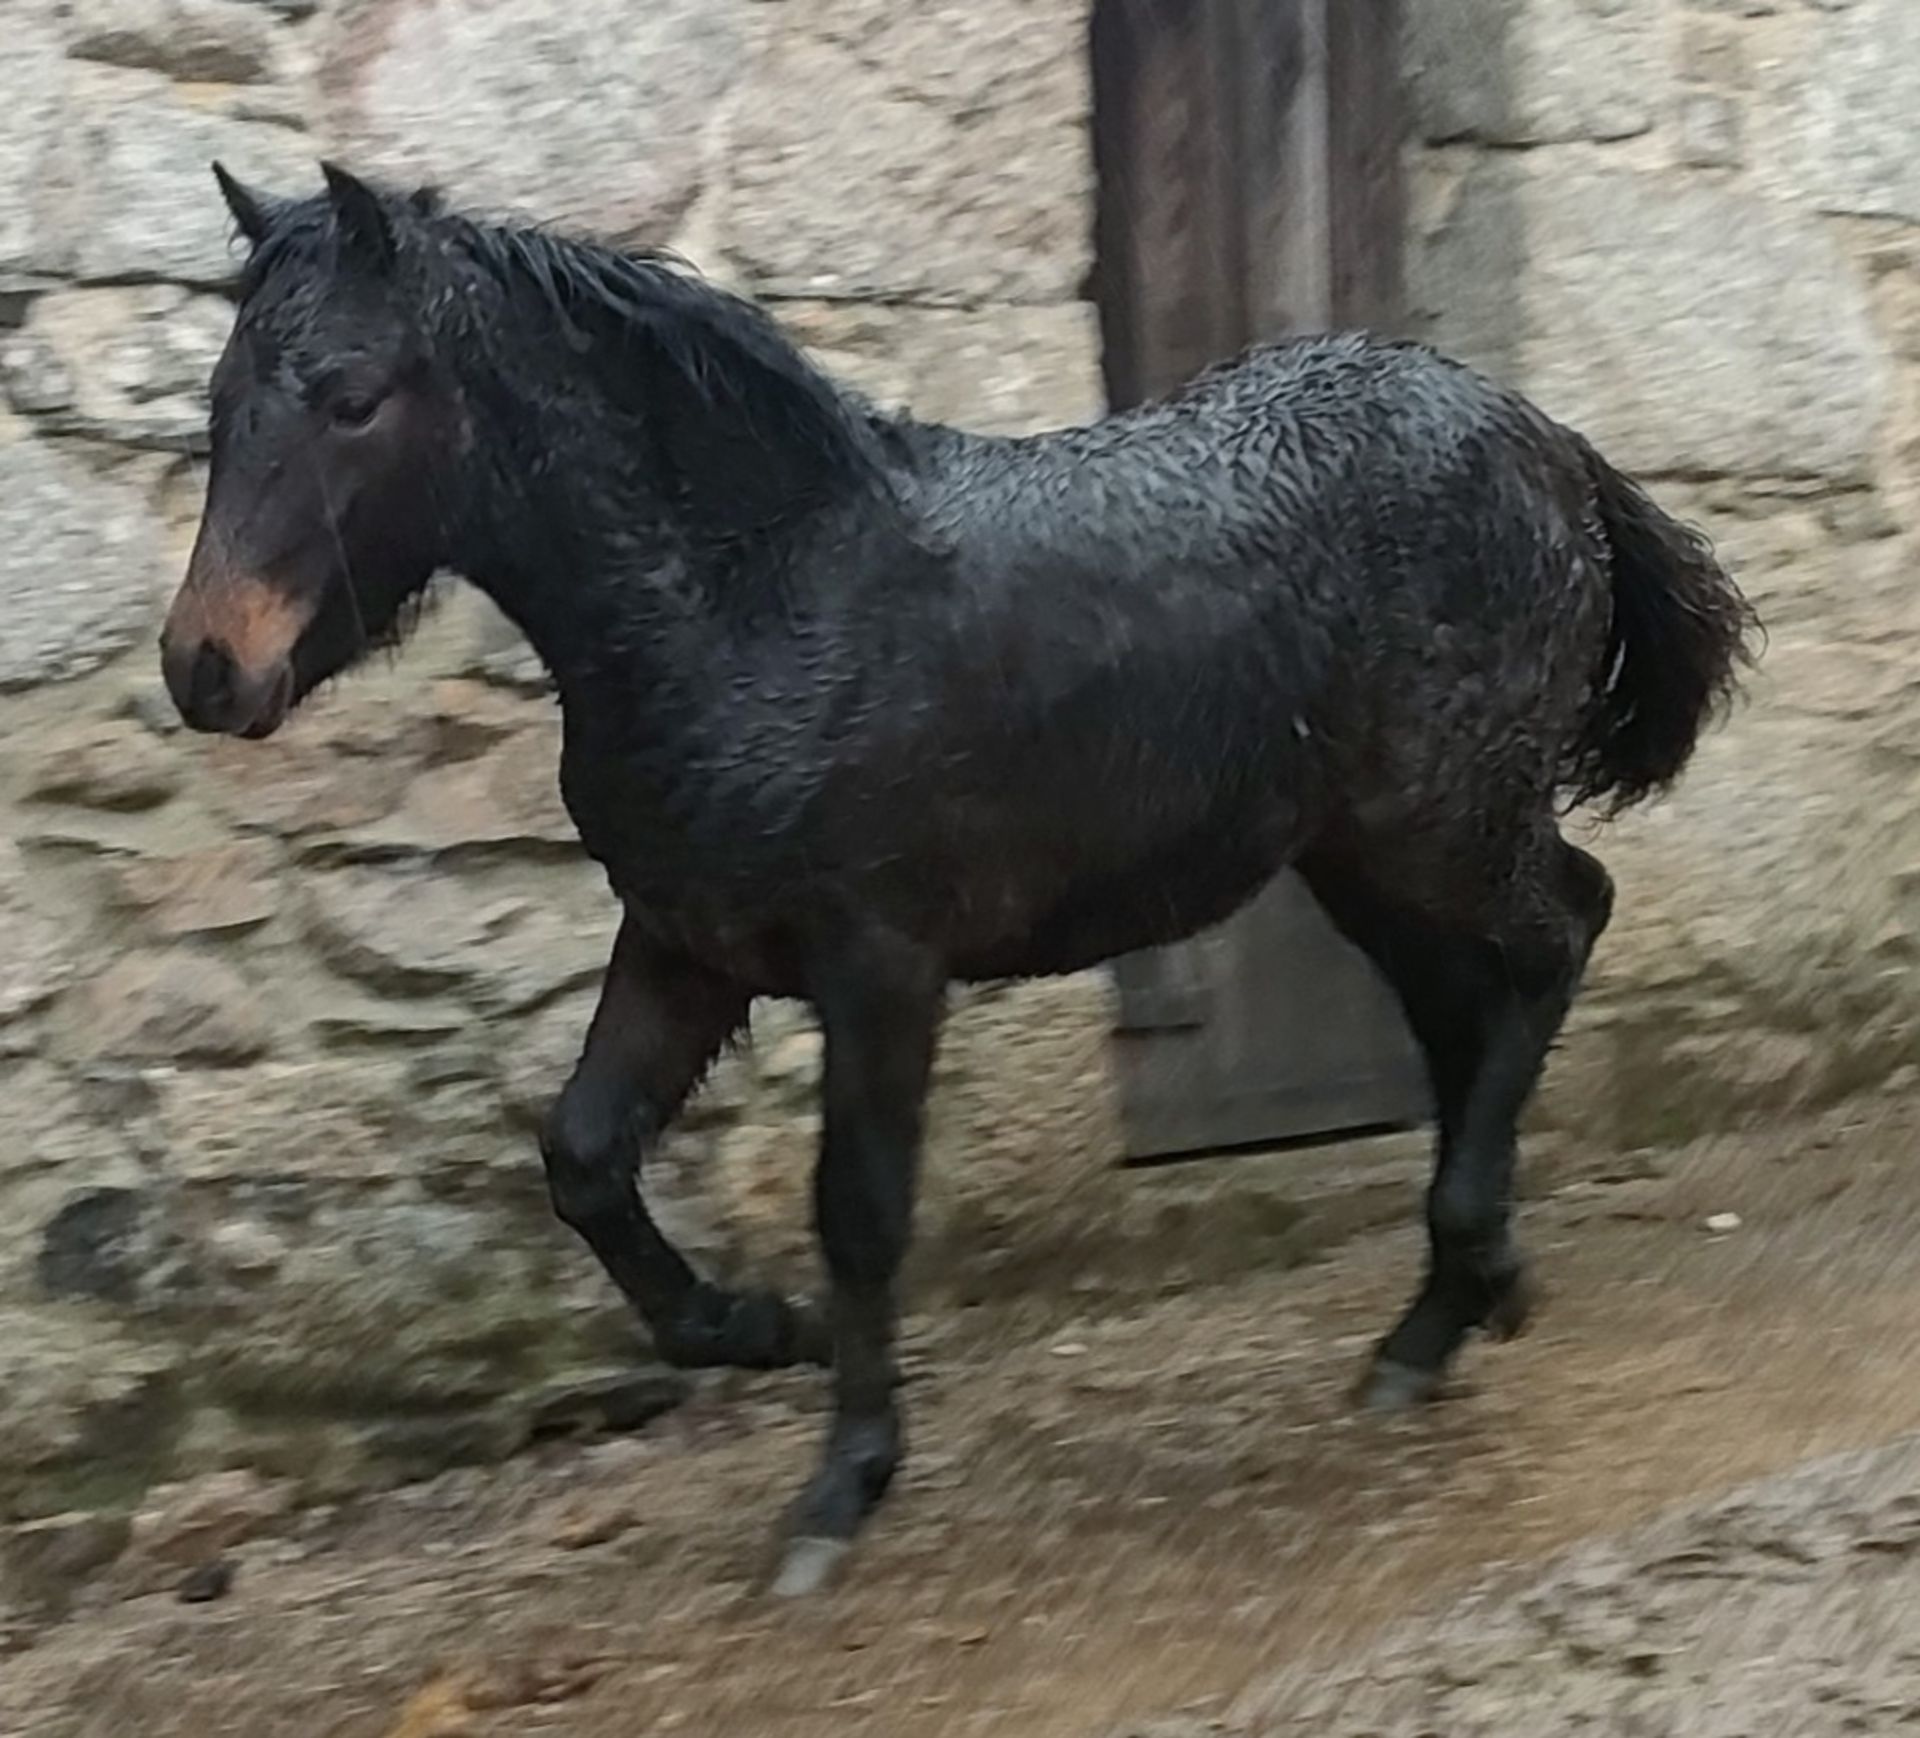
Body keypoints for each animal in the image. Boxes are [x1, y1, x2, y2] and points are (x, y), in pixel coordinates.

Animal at [161, 166, 1758, 1597]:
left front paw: (842, 1482)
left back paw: (1465, 1275)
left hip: (1442, 818)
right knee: (1462, 1012)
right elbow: (586, 1156)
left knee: (1563, 933)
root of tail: (1542, 434)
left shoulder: (879, 961)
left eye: (350, 394)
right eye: (222, 401)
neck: (753, 601)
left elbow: (860, 1207)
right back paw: (1448, 1311)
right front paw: (765, 1328)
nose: (204, 667)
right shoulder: (687, 942)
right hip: (1362, 855)